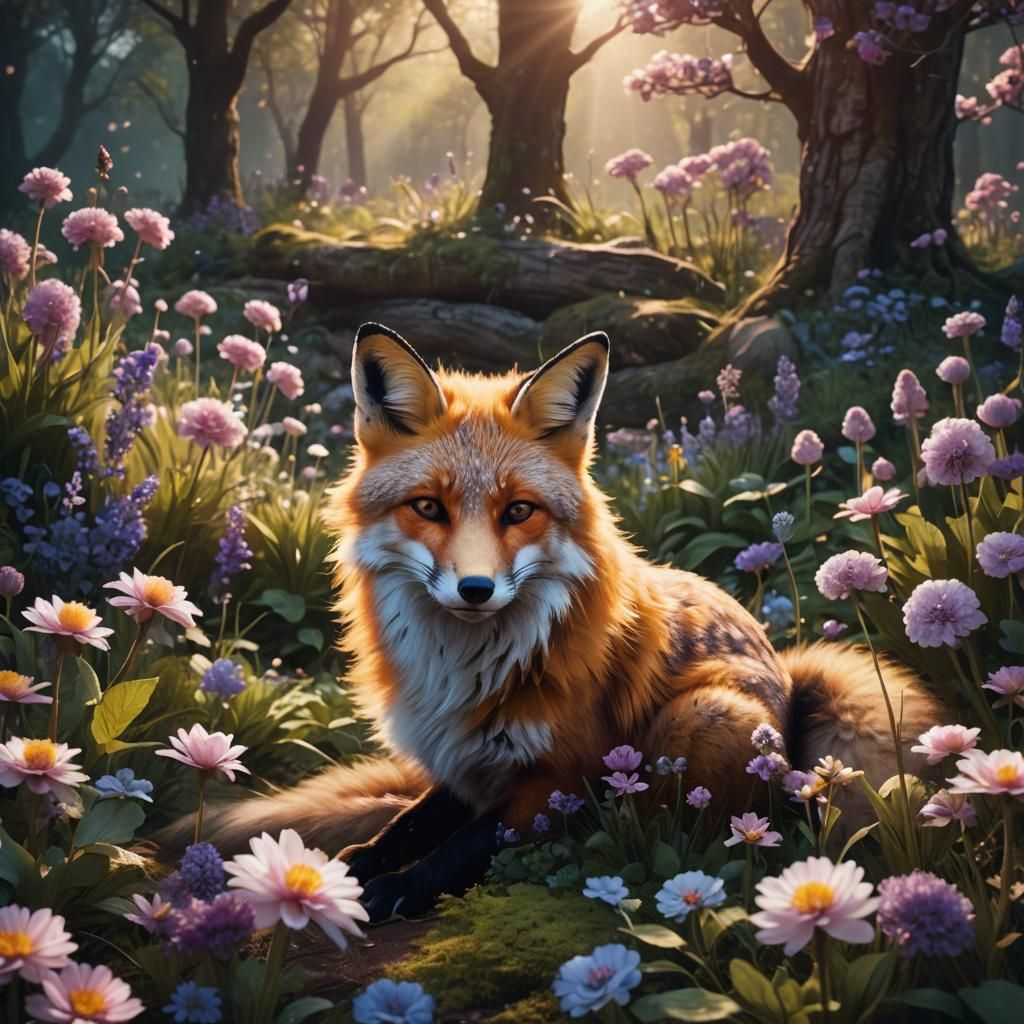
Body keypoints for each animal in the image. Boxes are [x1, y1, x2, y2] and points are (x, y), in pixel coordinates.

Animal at [194, 322, 943, 921]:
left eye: (519, 511)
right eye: (429, 507)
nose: (475, 589)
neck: (466, 672)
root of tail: (785, 670)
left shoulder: (564, 774)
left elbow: (465, 845)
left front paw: (399, 889)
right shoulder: (465, 762)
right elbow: (405, 824)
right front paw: (353, 866)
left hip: (704, 714)